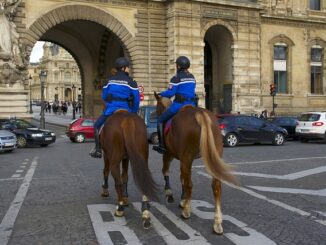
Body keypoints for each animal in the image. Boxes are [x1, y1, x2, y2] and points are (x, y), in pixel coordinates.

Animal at [154, 93, 238, 234]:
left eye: (157, 106)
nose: (155, 115)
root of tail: (200, 114)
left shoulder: (170, 154)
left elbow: (167, 172)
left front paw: (170, 194)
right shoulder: (183, 159)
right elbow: (182, 178)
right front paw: (183, 200)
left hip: (185, 158)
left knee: (190, 184)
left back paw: (186, 211)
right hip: (210, 158)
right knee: (216, 187)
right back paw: (217, 222)